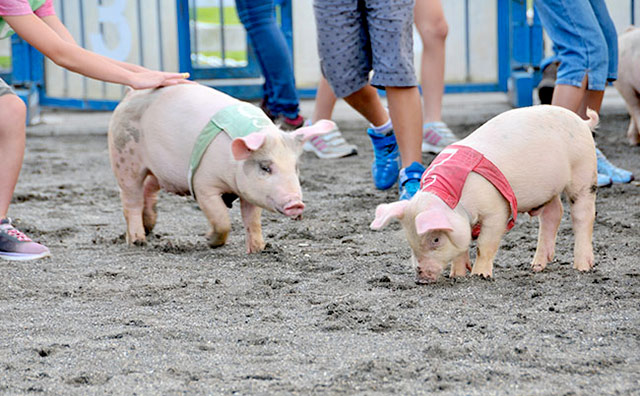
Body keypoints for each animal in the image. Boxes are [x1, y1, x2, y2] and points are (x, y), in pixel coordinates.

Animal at [370, 105, 600, 284]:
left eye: (435, 240)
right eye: (410, 240)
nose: (420, 279)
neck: (456, 198)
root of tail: (582, 122)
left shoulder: (496, 210)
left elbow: (484, 244)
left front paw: (479, 275)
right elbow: (462, 248)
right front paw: (458, 275)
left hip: (584, 172)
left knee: (583, 215)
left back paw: (582, 267)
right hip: (548, 191)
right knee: (553, 214)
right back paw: (536, 266)